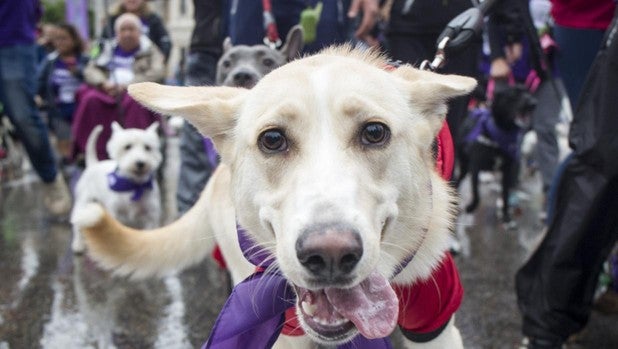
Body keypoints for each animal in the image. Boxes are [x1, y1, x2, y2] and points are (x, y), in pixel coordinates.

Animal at [70, 122, 161, 253]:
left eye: (147, 147)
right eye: (127, 147)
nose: (140, 163)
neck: (133, 186)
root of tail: (93, 164)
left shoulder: (151, 218)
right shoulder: (117, 216)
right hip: (84, 202)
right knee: (77, 223)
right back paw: (78, 243)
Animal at [452, 85, 536, 224]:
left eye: (528, 93)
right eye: (514, 94)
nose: (533, 103)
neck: (500, 134)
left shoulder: (507, 171)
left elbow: (505, 193)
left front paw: (506, 214)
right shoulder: (475, 167)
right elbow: (476, 193)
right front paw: (471, 206)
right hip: (464, 163)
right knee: (458, 178)